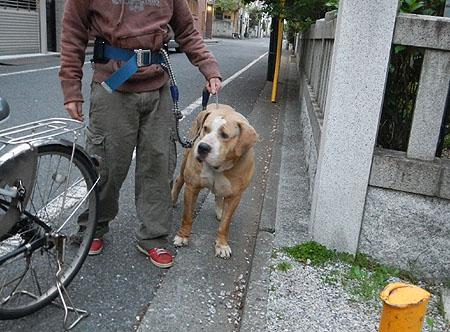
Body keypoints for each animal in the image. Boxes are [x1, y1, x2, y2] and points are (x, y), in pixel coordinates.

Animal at [171, 104, 258, 256]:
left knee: (218, 195)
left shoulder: (234, 197)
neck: (219, 167)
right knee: (179, 180)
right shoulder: (191, 187)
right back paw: (172, 199)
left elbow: (225, 224)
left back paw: (219, 210)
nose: (203, 147)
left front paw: (222, 245)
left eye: (225, 135)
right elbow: (187, 216)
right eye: (206, 128)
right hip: (185, 159)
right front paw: (182, 236)